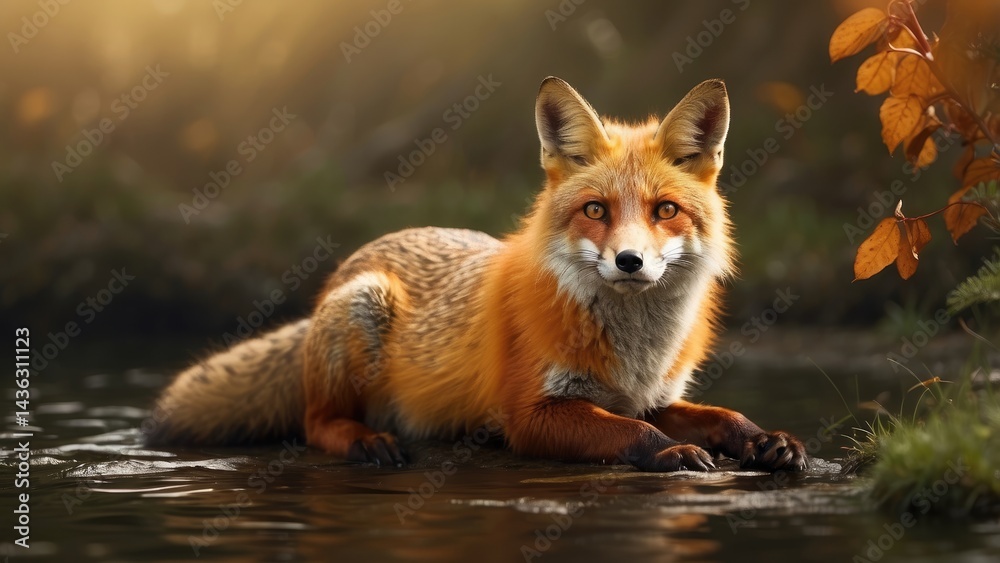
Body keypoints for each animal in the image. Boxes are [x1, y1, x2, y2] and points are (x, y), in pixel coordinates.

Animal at [146, 77, 807, 472]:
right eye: (596, 211)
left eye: (664, 211)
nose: (629, 262)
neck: (635, 351)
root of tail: (357, 257)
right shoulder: (533, 413)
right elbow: (633, 436)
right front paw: (678, 454)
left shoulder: (648, 399)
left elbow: (720, 417)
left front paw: (762, 440)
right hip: (362, 310)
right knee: (315, 425)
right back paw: (367, 441)